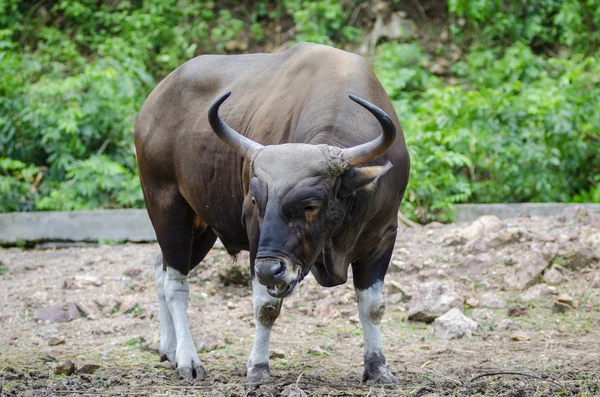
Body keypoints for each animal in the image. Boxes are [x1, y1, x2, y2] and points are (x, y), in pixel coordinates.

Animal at [134, 41, 410, 382]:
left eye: (310, 205)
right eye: (256, 201)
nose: (269, 270)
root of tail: (152, 104)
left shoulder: (384, 234)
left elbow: (372, 306)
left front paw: (378, 367)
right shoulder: (256, 239)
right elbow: (265, 307)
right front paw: (258, 367)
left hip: (204, 225)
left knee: (160, 266)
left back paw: (169, 350)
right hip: (167, 207)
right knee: (175, 284)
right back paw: (188, 359)